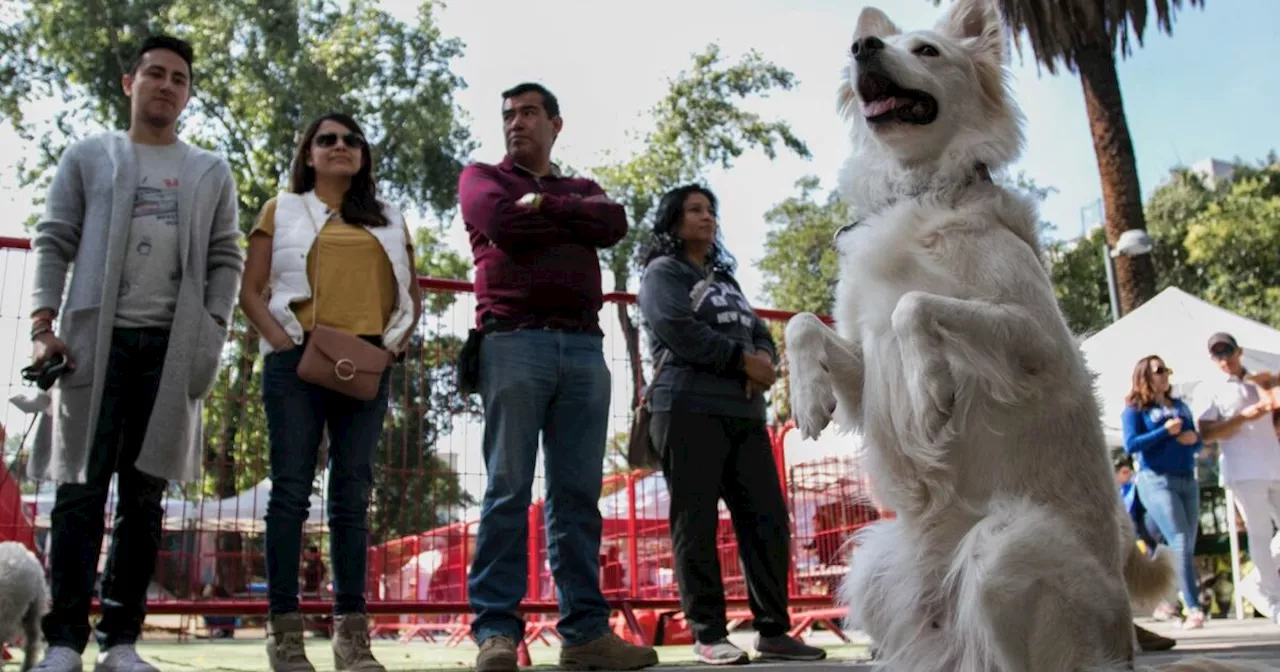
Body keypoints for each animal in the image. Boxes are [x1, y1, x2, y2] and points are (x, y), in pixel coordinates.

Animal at [783, 1, 1274, 670]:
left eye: (928, 50)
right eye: (875, 43)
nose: (862, 48)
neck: (921, 190)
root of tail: (1123, 649)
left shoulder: (1037, 338)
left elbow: (915, 306)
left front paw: (931, 389)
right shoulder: (867, 366)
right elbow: (806, 323)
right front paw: (808, 395)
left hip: (1005, 550)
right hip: (875, 570)